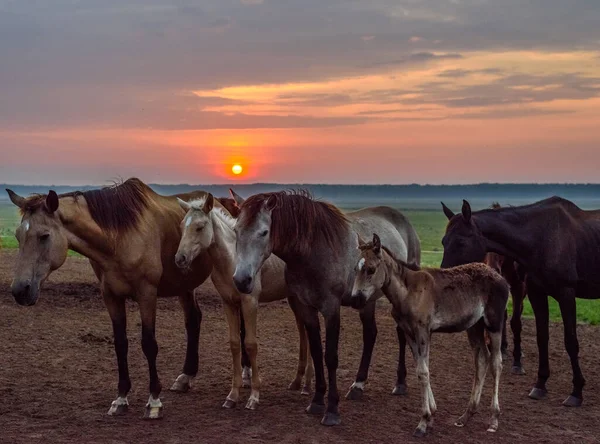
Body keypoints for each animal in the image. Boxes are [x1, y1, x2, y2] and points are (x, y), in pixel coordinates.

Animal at [6, 178, 232, 420]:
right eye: (18, 236)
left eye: (44, 236)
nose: (20, 290)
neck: (118, 239)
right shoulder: (111, 297)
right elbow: (120, 344)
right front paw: (121, 398)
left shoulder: (147, 294)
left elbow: (149, 344)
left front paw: (154, 401)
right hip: (184, 286)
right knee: (193, 320)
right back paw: (185, 377)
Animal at [173, 193, 314, 410]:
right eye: (182, 226)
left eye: (200, 226)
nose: (180, 258)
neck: (232, 261)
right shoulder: (229, 303)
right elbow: (234, 344)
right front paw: (232, 395)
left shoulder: (250, 303)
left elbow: (250, 344)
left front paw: (254, 396)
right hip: (295, 299)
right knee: (304, 332)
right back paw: (298, 382)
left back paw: (307, 385)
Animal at [354, 234, 508, 436]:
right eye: (356, 269)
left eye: (371, 269)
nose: (356, 299)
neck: (407, 292)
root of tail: (502, 279)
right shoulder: (409, 333)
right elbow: (421, 368)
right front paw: (431, 415)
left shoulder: (423, 331)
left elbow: (423, 372)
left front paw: (423, 422)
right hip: (474, 326)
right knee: (482, 358)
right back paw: (466, 416)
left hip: (494, 324)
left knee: (496, 363)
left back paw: (494, 419)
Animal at [440, 203, 528, 376]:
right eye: (443, 242)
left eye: (461, 243)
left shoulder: (518, 288)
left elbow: (516, 322)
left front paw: (517, 361)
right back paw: (502, 347)